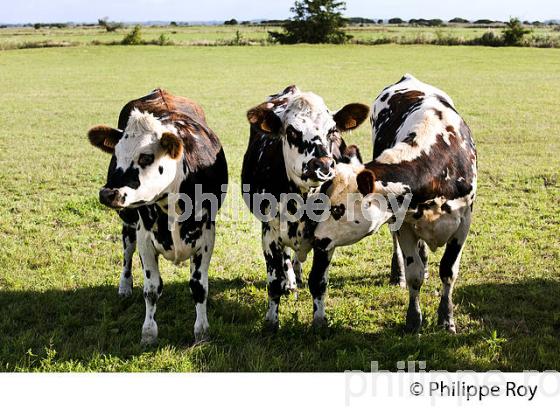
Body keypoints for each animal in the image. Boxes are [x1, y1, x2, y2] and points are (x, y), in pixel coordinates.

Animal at [87, 88, 228, 344]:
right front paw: (149, 332)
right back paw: (124, 286)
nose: (108, 193)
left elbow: (199, 286)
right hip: (128, 220)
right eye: (116, 154)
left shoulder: (206, 237)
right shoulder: (145, 238)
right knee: (127, 249)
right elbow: (151, 289)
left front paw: (201, 331)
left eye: (146, 157)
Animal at [242, 85, 370, 330]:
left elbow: (318, 281)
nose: (323, 165)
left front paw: (319, 321)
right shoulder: (269, 233)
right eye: (292, 131)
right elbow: (274, 281)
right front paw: (271, 321)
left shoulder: (327, 238)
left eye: (332, 131)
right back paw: (290, 280)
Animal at [316, 75, 476, 334]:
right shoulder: (404, 223)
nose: (315, 238)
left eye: (338, 209)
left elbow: (448, 272)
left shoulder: (463, 223)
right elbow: (414, 274)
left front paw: (446, 318)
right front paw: (413, 319)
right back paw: (397, 273)